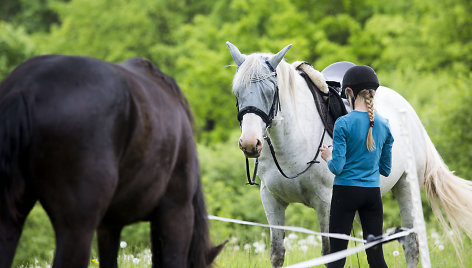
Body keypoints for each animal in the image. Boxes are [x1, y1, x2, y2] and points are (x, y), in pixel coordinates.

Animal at [225, 40, 472, 266]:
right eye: (237, 92)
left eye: (270, 92)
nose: (250, 143)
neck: (293, 141)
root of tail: (408, 111)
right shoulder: (272, 201)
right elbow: (277, 253)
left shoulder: (325, 204)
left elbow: (330, 254)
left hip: (406, 188)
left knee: (411, 242)